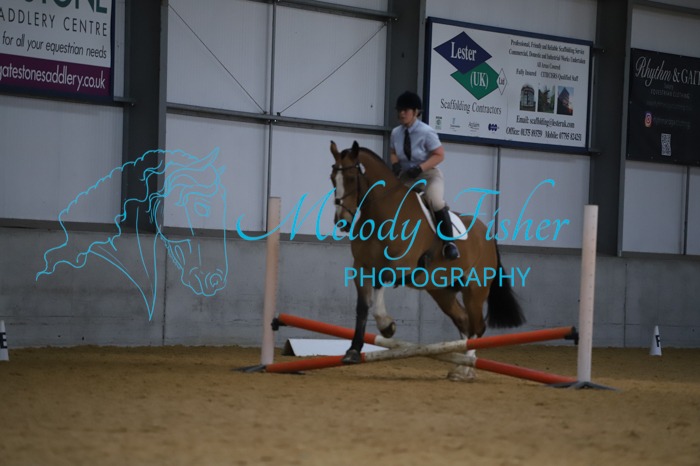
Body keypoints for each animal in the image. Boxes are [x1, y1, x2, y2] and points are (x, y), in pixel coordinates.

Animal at [330, 140, 524, 380]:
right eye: (332, 178)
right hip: (442, 291)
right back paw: (460, 365)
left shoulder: (401, 264)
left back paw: (466, 369)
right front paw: (353, 351)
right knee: (464, 321)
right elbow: (362, 308)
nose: (342, 222)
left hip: (475, 289)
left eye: (350, 178)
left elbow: (380, 282)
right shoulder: (361, 267)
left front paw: (387, 326)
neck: (382, 212)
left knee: (478, 326)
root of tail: (486, 234)